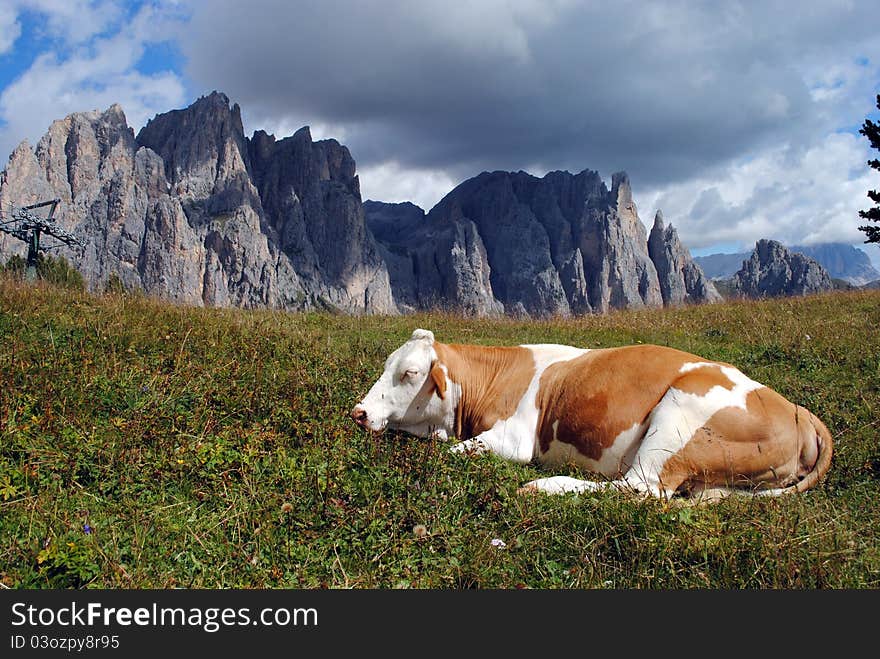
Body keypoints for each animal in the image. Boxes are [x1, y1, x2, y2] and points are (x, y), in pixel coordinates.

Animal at [348, 330, 832, 500]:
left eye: (410, 373)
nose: (359, 412)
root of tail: (798, 410)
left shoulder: (514, 438)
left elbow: (450, 453)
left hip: (678, 417)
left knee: (641, 489)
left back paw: (546, 486)